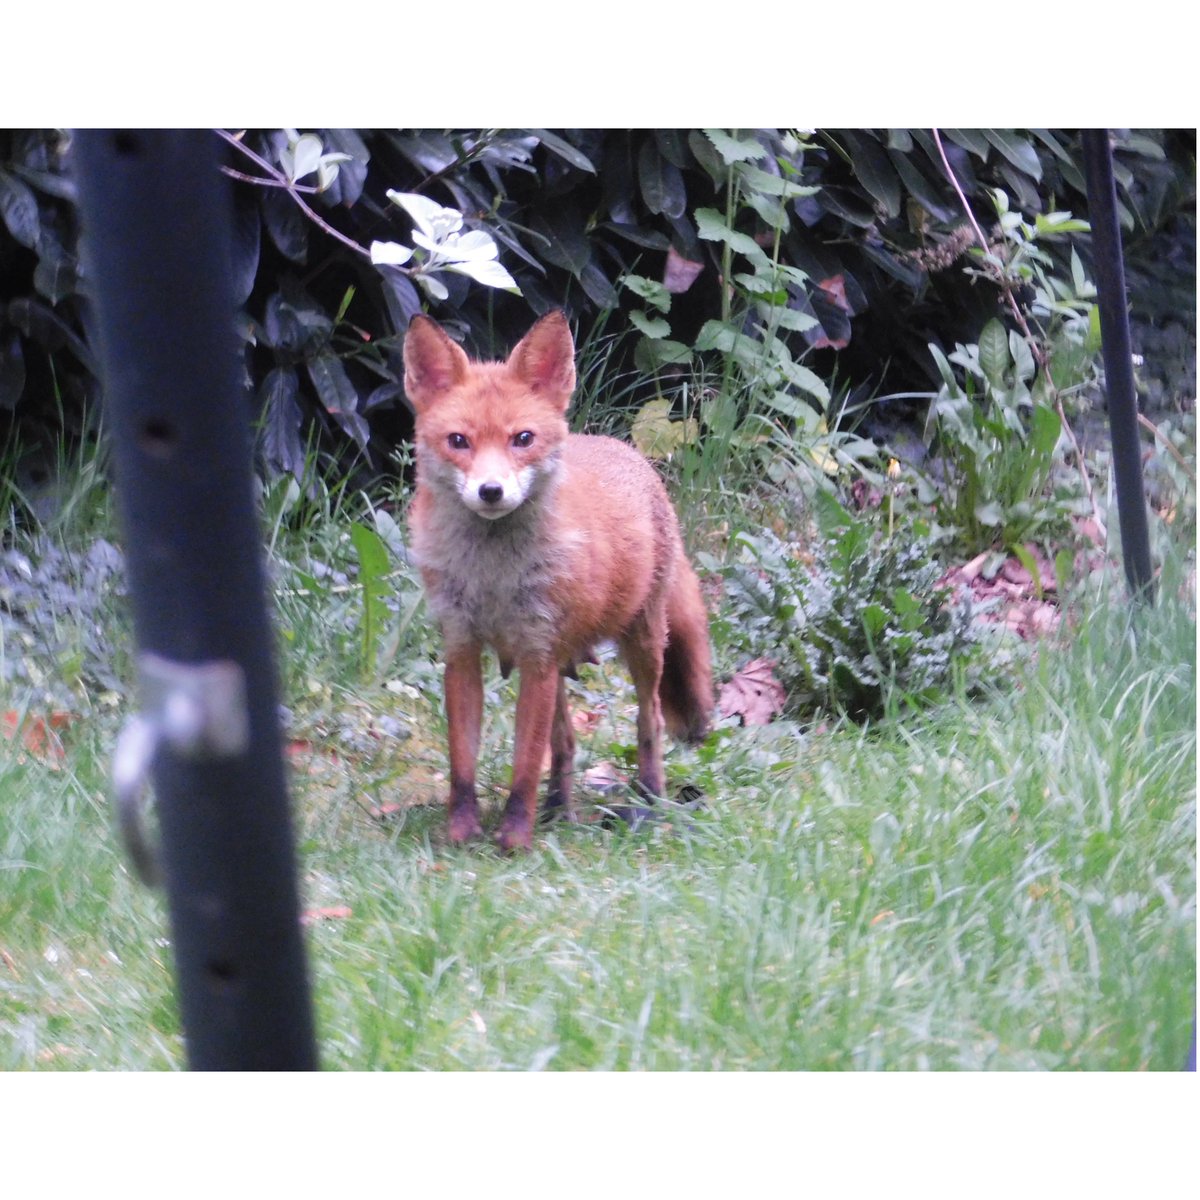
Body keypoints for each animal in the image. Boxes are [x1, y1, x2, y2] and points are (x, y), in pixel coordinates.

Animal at [403, 309, 713, 851]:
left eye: (522, 439)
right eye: (459, 441)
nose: (490, 491)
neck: (493, 577)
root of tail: (626, 450)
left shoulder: (538, 653)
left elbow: (525, 766)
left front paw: (513, 840)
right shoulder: (464, 650)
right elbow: (463, 764)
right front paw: (462, 833)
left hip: (642, 644)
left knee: (649, 720)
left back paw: (648, 802)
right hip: (561, 667)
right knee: (565, 742)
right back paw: (556, 811)